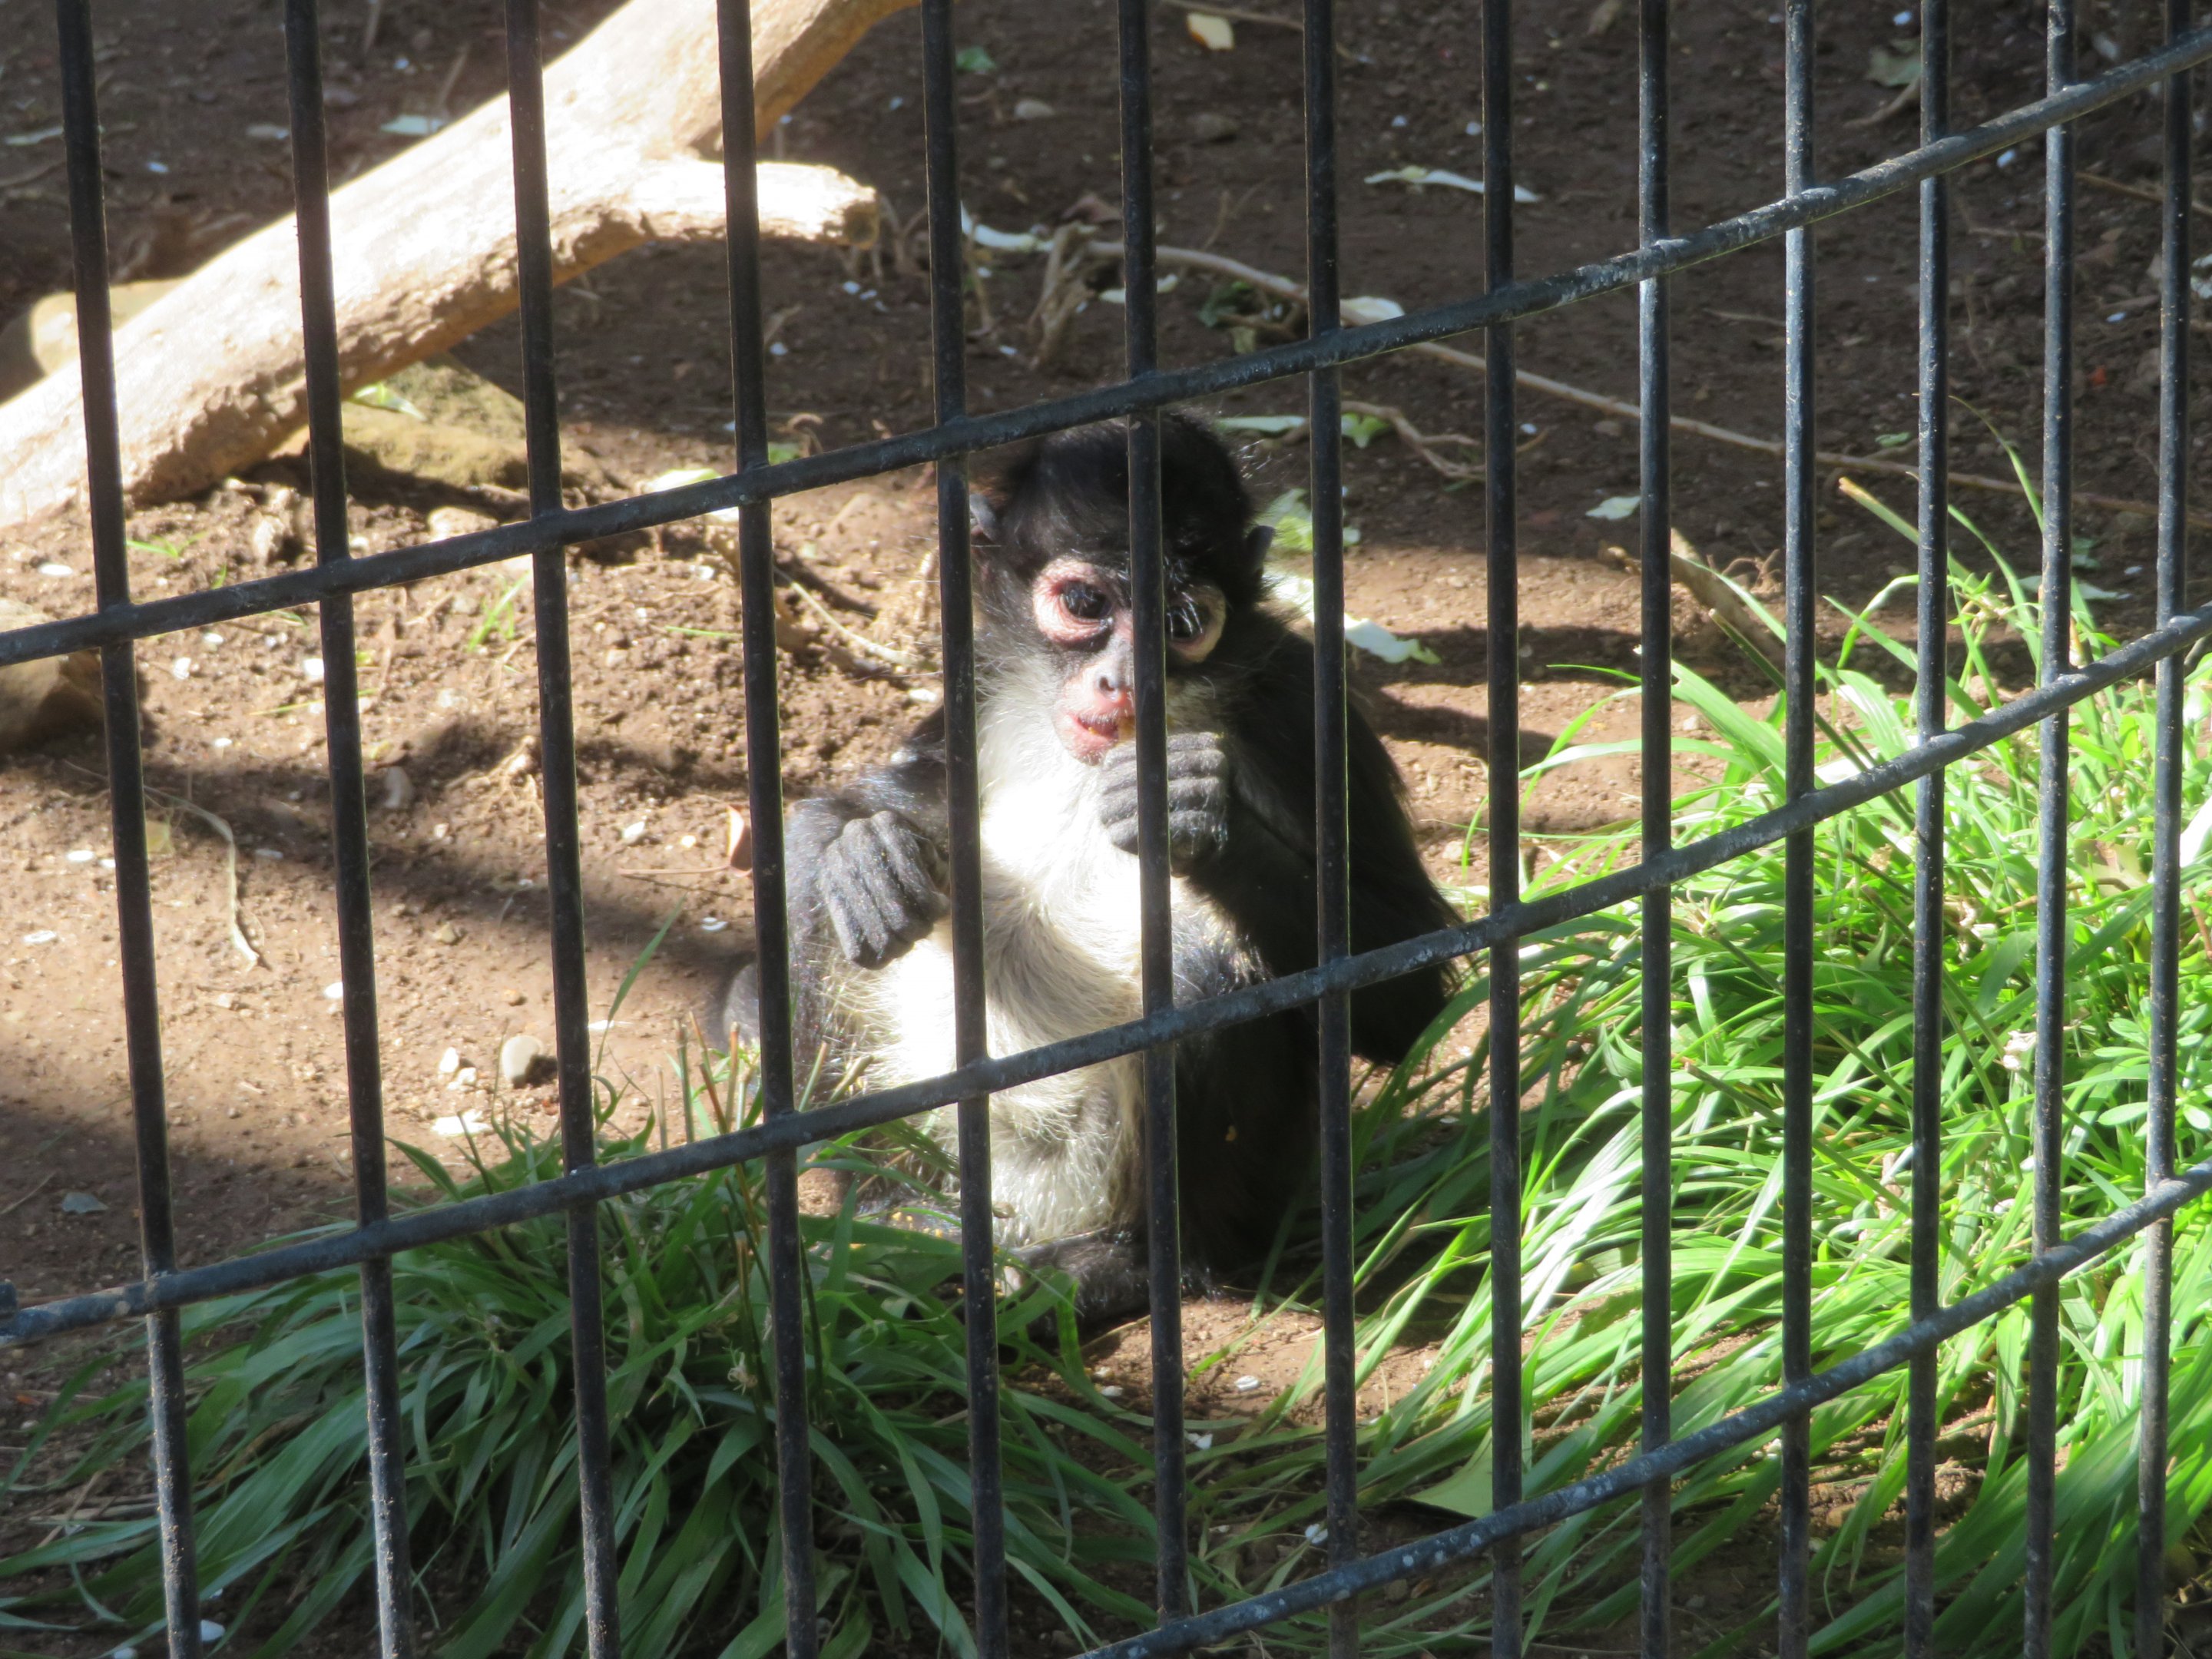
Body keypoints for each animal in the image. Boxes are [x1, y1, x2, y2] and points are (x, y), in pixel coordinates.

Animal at [712, 413, 1460, 1325]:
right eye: (1085, 606)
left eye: (1182, 622)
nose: (1122, 680)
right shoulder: (981, 680)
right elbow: (864, 822)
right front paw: (863, 850)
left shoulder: (1296, 697)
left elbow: (1407, 995)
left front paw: (1199, 817)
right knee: (817, 913)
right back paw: (894, 1228)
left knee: (1206, 964)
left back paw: (1131, 1265)